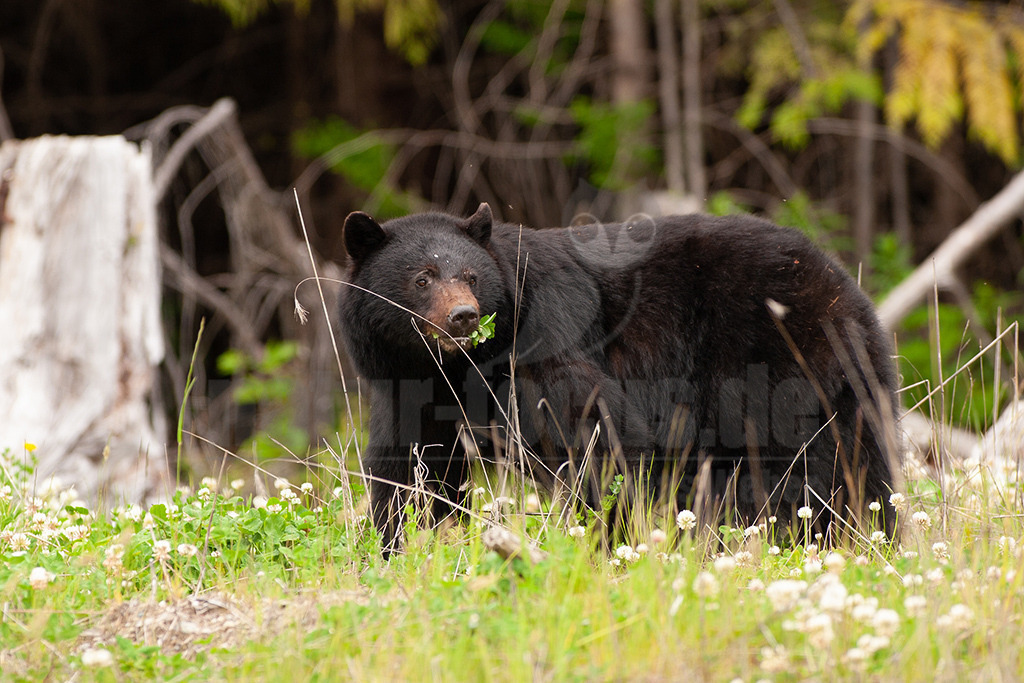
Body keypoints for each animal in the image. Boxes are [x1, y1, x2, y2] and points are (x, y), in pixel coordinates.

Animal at [337, 203, 901, 554]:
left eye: (472, 276)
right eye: (422, 278)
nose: (464, 317)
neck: (453, 368)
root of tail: (841, 283)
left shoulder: (547, 337)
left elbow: (595, 429)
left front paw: (605, 539)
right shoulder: (406, 388)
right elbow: (410, 468)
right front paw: (398, 544)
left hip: (773, 368)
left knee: (805, 466)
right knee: (858, 460)